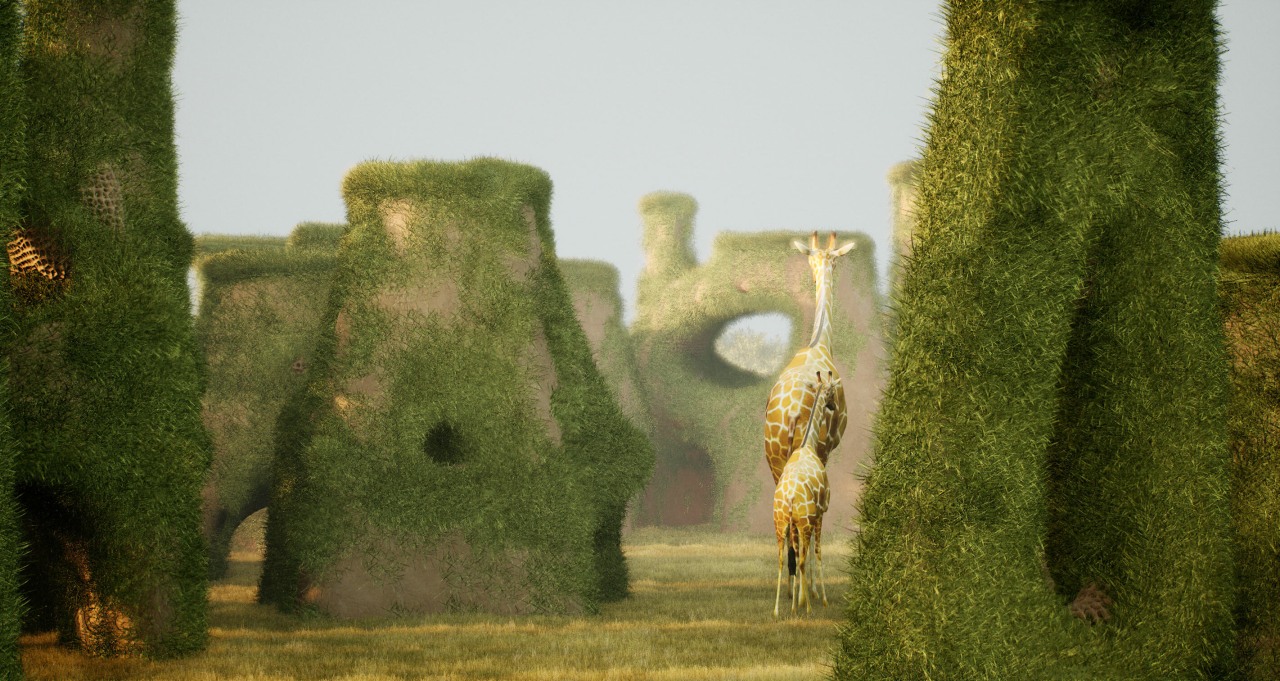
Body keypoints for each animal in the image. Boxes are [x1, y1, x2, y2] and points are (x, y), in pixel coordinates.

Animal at [773, 371, 838, 618]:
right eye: (831, 391)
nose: (834, 406)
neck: (807, 445)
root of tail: (791, 496)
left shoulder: (799, 522)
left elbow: (800, 553)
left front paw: (798, 598)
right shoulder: (820, 513)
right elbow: (816, 552)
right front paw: (820, 598)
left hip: (782, 523)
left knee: (783, 559)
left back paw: (779, 609)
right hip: (805, 521)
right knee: (801, 559)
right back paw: (807, 607)